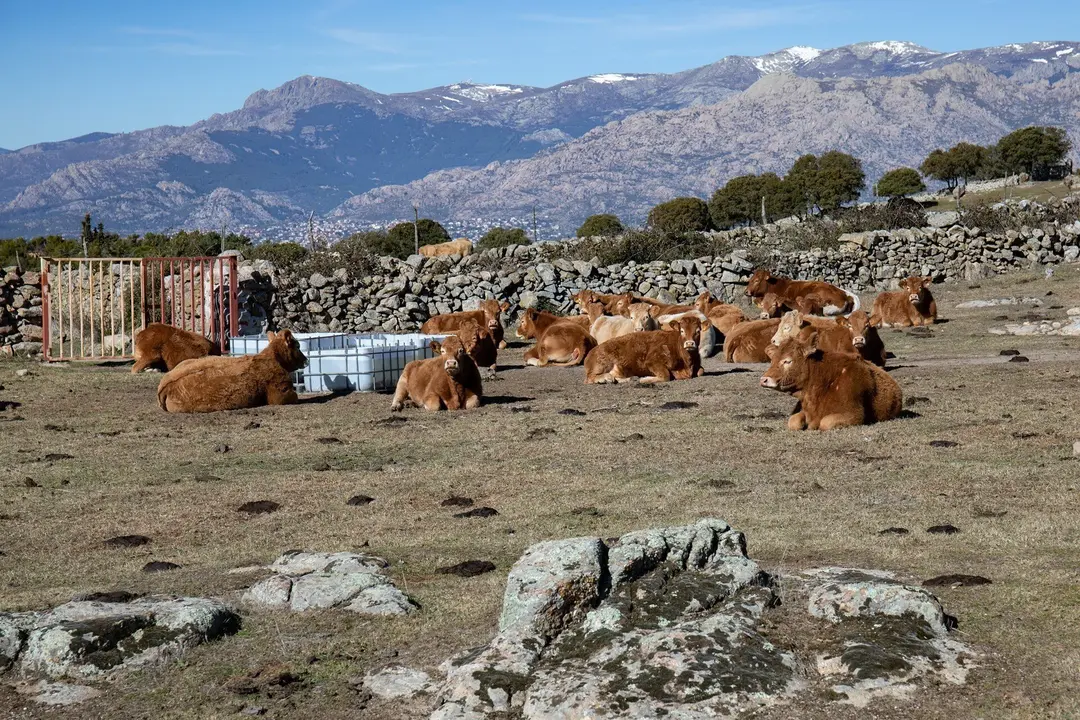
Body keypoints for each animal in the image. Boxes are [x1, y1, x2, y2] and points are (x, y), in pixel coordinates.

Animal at [760, 332, 902, 431]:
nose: (764, 379)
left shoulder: (854, 414)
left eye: (787, 361)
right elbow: (793, 422)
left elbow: (825, 423)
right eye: (772, 360)